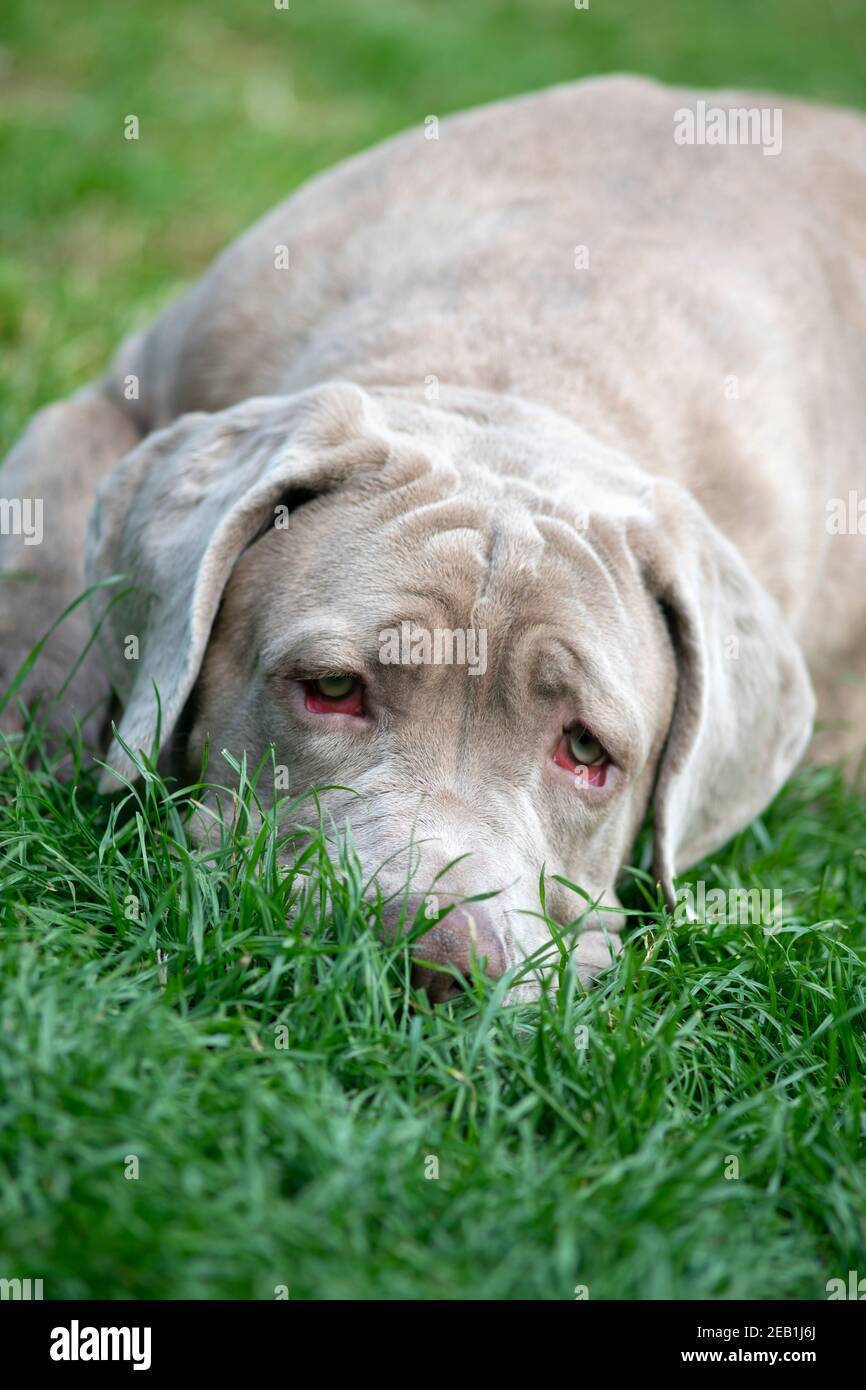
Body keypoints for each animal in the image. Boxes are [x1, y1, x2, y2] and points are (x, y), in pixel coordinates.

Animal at [1, 78, 866, 1000]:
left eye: (586, 750)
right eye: (332, 689)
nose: (436, 959)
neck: (514, 360)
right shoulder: (117, 395)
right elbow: (42, 551)